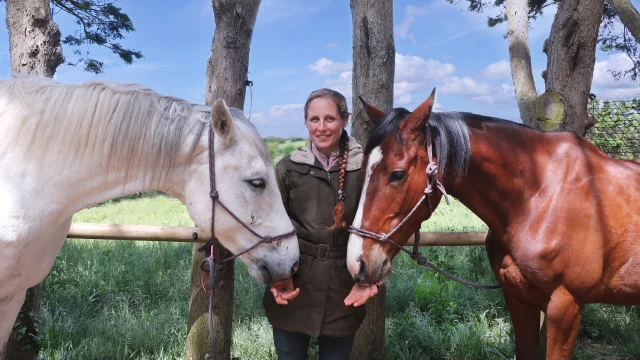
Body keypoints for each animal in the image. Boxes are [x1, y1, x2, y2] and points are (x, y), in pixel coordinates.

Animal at [348, 90, 640, 358]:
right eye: (362, 170)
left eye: (397, 174)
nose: (357, 262)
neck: (540, 196)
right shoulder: (518, 298)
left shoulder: (565, 306)